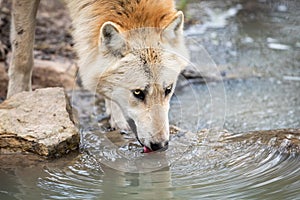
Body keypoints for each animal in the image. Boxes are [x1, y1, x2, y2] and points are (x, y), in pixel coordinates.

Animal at [7, 0, 188, 152]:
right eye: (138, 93)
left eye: (168, 90)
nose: (161, 145)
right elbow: (22, 57)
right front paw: (19, 99)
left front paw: (116, 118)